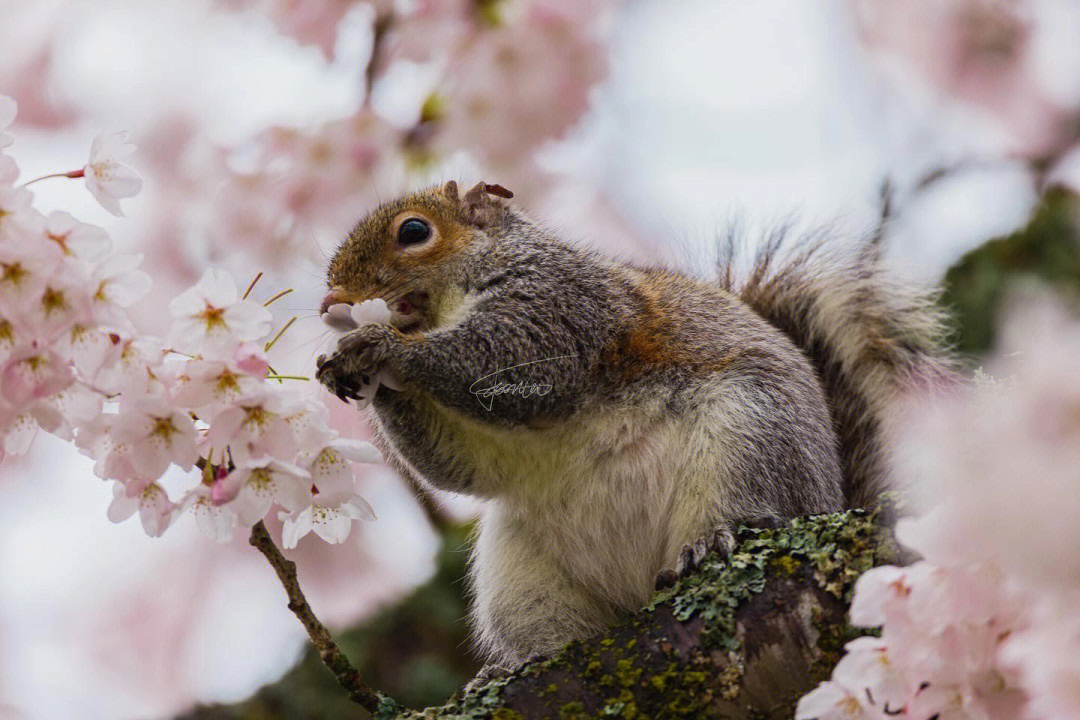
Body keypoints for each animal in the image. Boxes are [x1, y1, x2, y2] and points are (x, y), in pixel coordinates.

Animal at [313, 179, 954, 669]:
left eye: (413, 232)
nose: (331, 302)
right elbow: (457, 464)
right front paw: (347, 369)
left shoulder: (561, 308)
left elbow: (504, 362)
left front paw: (382, 346)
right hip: (521, 583)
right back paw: (531, 662)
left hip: (753, 439)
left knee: (747, 505)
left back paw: (710, 544)